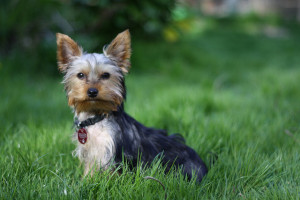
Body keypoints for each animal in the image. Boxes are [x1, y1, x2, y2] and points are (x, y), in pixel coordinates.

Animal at [56, 29, 207, 181]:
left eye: (106, 75)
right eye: (80, 75)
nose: (92, 91)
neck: (96, 116)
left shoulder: (112, 154)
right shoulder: (90, 151)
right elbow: (89, 170)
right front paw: (84, 181)